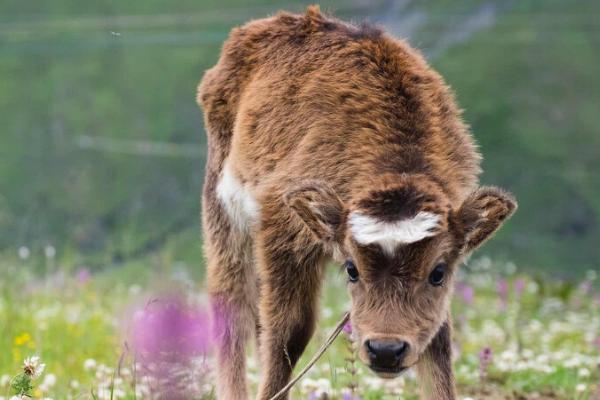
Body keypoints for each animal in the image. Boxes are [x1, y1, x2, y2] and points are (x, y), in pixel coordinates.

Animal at [197, 4, 516, 398]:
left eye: (438, 273)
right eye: (352, 269)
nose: (385, 349)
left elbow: (438, 345)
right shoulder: (281, 230)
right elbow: (289, 332)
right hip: (223, 213)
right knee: (231, 306)